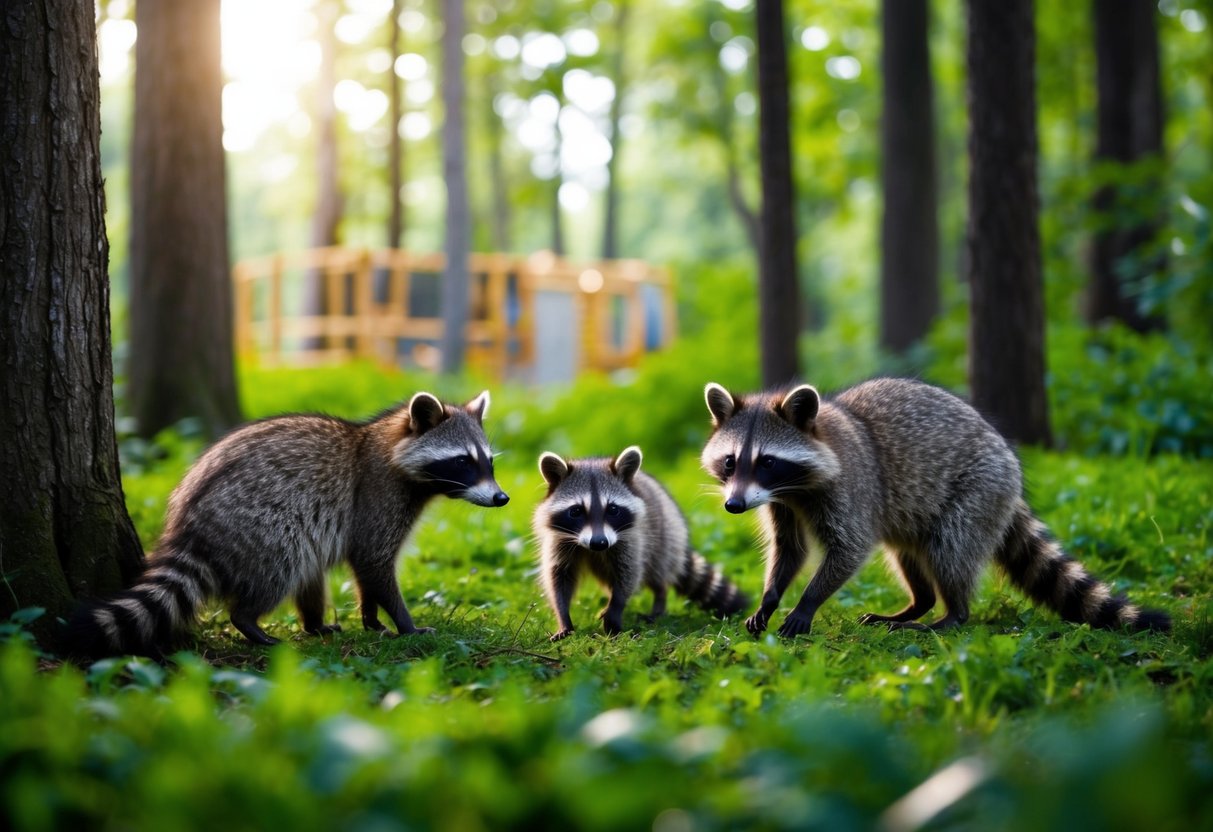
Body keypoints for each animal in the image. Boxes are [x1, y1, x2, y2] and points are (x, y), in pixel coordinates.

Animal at [66, 391, 510, 657]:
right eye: (462, 462)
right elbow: (373, 562)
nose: (502, 498)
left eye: (488, 461)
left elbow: (365, 571)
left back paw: (313, 623)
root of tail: (190, 521)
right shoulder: (377, 498)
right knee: (282, 567)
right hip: (262, 526)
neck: (389, 445)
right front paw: (405, 623)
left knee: (310, 574)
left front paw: (370, 617)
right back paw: (250, 621)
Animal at [534, 446, 747, 641]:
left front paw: (615, 609)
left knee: (658, 571)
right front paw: (563, 617)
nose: (599, 542)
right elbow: (558, 577)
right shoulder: (559, 540)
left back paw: (658, 602)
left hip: (667, 535)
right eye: (576, 511)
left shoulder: (631, 537)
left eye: (612, 509)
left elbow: (629, 573)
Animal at [700, 378, 1170, 638]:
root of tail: (1009, 462)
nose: (734, 506)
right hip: (914, 515)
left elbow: (849, 548)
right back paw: (918, 603)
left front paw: (807, 602)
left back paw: (950, 615)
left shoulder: (852, 489)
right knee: (908, 554)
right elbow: (789, 549)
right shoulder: (778, 502)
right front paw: (770, 597)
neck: (793, 486)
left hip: (980, 489)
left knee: (952, 550)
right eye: (731, 461)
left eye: (767, 461)